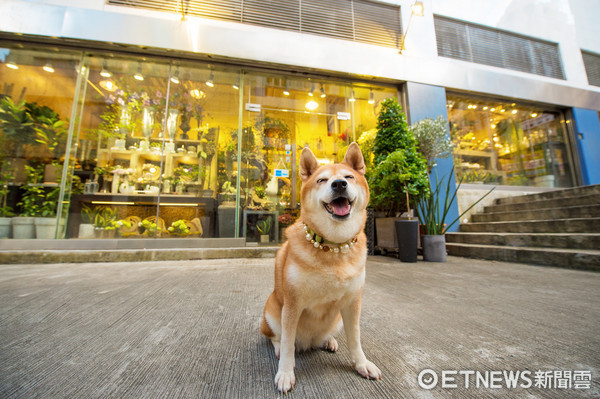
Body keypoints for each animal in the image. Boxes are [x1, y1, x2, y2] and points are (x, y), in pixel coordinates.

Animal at [260, 142, 382, 392]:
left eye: (349, 176)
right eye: (322, 180)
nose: (339, 184)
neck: (333, 246)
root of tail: (308, 342)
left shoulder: (353, 302)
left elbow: (355, 338)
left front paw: (362, 364)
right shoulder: (293, 304)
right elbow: (287, 342)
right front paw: (285, 373)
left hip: (336, 320)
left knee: (324, 336)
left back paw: (329, 341)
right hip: (272, 311)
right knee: (278, 338)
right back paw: (280, 350)